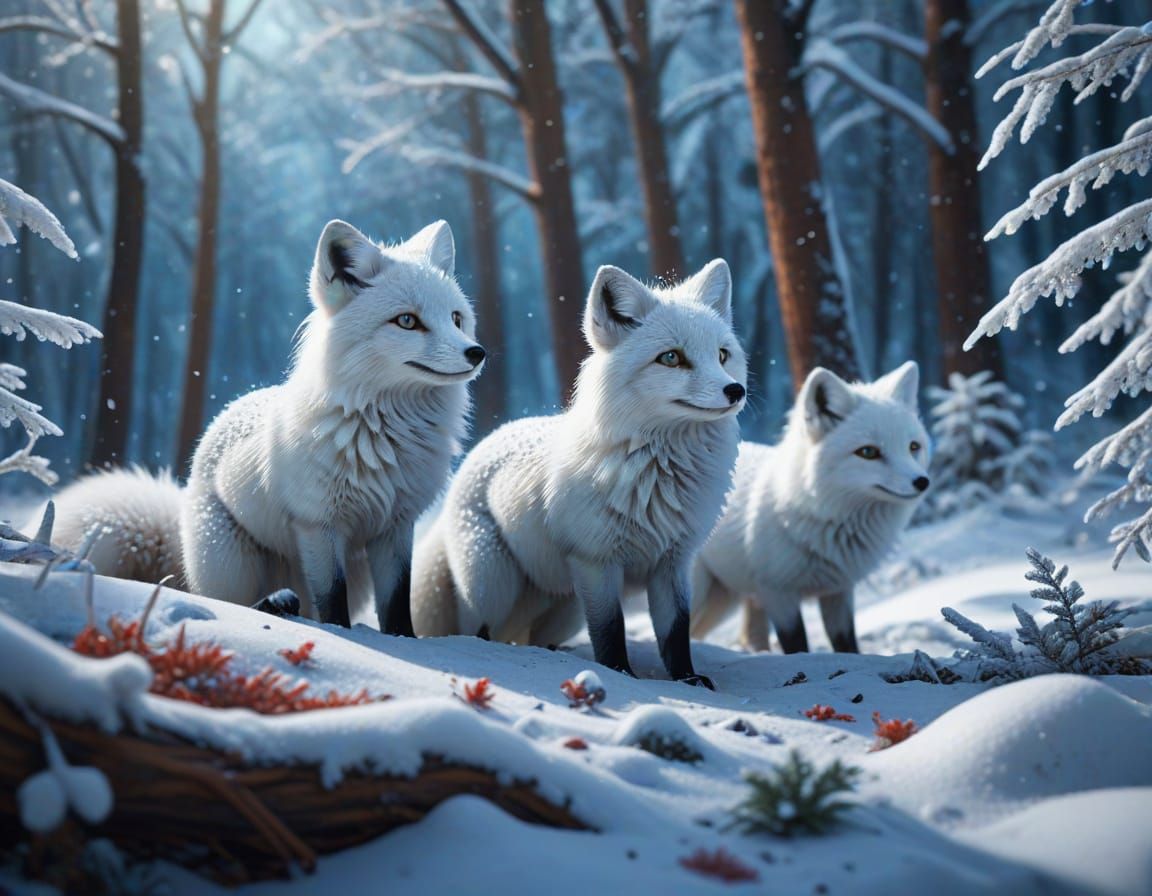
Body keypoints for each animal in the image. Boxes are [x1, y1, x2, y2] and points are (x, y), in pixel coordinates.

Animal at [49, 218, 484, 632]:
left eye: (456, 319)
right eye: (407, 321)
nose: (477, 353)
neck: (383, 434)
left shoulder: (395, 528)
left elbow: (396, 612)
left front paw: (406, 646)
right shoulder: (318, 526)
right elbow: (333, 607)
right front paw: (348, 640)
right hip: (234, 565)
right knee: (234, 603)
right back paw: (272, 605)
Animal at [411, 259, 747, 687]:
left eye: (722, 355)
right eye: (671, 358)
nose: (735, 391)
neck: (656, 477)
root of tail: (488, 441)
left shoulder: (672, 562)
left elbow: (676, 633)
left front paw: (688, 681)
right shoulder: (596, 562)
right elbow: (610, 631)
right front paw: (620, 676)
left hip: (565, 607)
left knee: (533, 639)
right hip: (493, 586)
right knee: (479, 630)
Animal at [690, 362, 930, 654]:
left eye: (913, 447)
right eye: (869, 452)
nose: (922, 482)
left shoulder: (838, 592)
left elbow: (847, 646)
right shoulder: (778, 595)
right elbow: (797, 646)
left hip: (727, 599)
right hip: (703, 595)